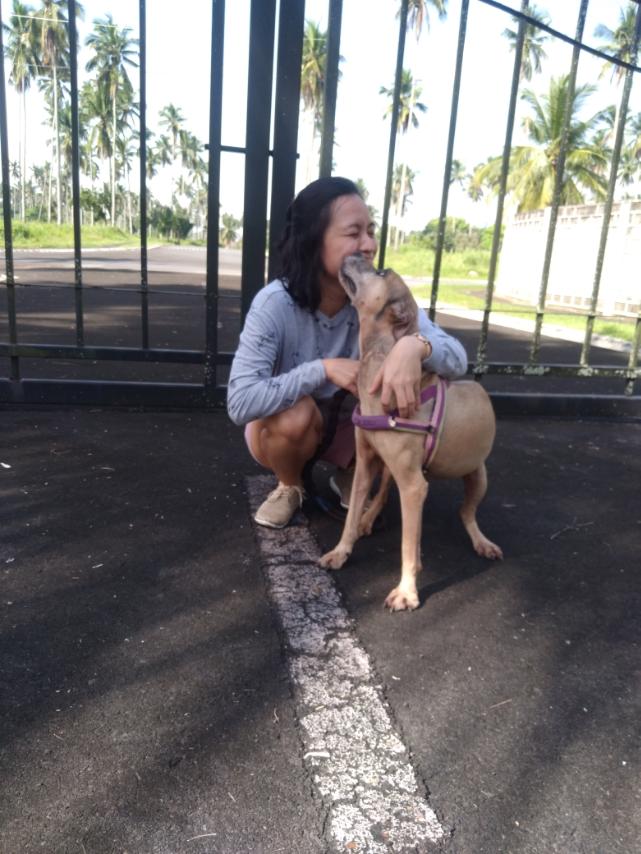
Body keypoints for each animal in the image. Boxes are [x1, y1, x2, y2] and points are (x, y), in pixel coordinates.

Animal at [318, 251, 500, 612]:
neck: (380, 356)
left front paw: (406, 591)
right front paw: (342, 550)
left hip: (477, 475)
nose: (352, 253)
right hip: (394, 467)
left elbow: (407, 543)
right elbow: (352, 513)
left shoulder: (415, 486)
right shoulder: (365, 464)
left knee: (465, 512)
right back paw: (369, 519)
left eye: (381, 272)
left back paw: (482, 542)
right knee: (384, 491)